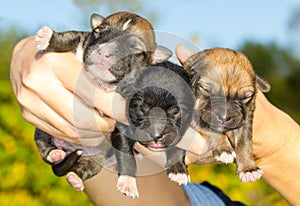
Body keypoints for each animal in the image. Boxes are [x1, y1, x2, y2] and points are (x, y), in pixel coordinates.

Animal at [183, 48, 272, 182]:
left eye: (244, 98)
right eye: (207, 90)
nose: (224, 118)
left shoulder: (245, 119)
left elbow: (244, 142)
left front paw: (248, 168)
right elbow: (211, 128)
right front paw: (224, 149)